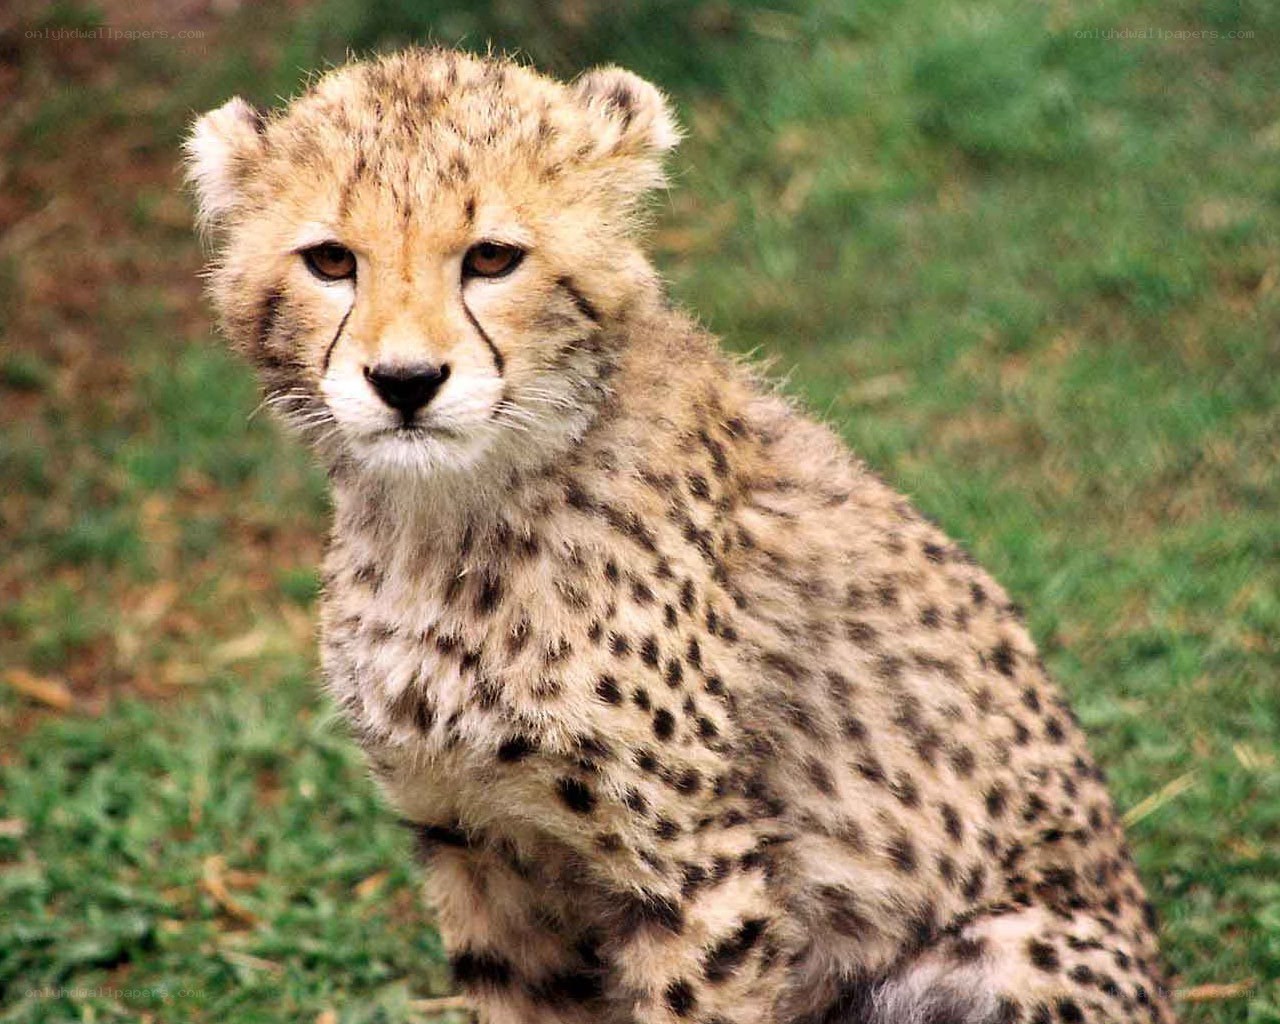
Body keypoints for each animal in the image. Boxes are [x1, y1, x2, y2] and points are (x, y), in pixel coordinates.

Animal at [185, 46, 1177, 1024]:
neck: (449, 520)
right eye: (330, 260)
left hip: (1003, 955)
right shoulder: (474, 839)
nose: (405, 381)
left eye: (492, 257)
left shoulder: (695, 868)